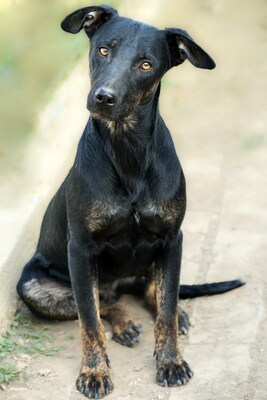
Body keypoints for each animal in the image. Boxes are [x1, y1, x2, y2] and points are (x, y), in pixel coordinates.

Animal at [15, 5, 244, 396]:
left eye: (146, 64)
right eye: (104, 50)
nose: (103, 97)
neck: (128, 150)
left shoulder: (172, 239)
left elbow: (165, 311)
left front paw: (171, 361)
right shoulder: (80, 250)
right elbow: (89, 321)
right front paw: (94, 372)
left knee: (152, 294)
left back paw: (173, 312)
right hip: (33, 287)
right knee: (101, 303)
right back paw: (122, 323)